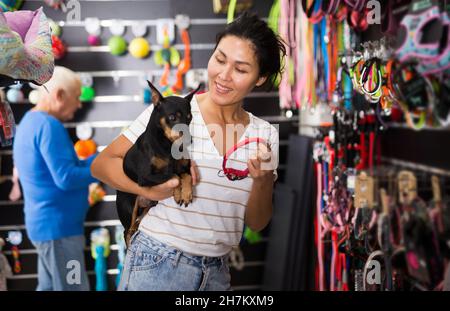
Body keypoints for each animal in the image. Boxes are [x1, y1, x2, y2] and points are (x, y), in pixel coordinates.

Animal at [117, 81, 200, 247]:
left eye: (189, 118)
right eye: (172, 117)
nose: (189, 141)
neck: (168, 145)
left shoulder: (185, 167)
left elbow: (185, 176)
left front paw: (186, 194)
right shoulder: (146, 177)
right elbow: (173, 175)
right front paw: (178, 193)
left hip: (148, 207)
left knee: (135, 226)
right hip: (129, 207)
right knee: (127, 231)